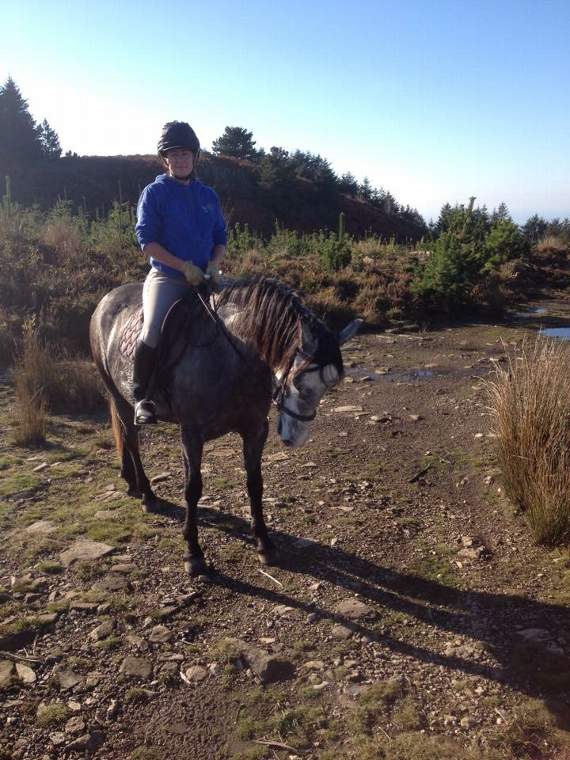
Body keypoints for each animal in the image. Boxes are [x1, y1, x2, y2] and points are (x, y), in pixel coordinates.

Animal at [90, 276, 361, 575]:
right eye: (299, 382)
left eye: (329, 386)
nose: (296, 438)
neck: (230, 356)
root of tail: (106, 300)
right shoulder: (191, 434)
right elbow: (193, 489)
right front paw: (193, 552)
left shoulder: (255, 431)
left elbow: (255, 484)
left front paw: (264, 544)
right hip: (119, 397)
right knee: (132, 439)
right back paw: (147, 495)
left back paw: (131, 482)